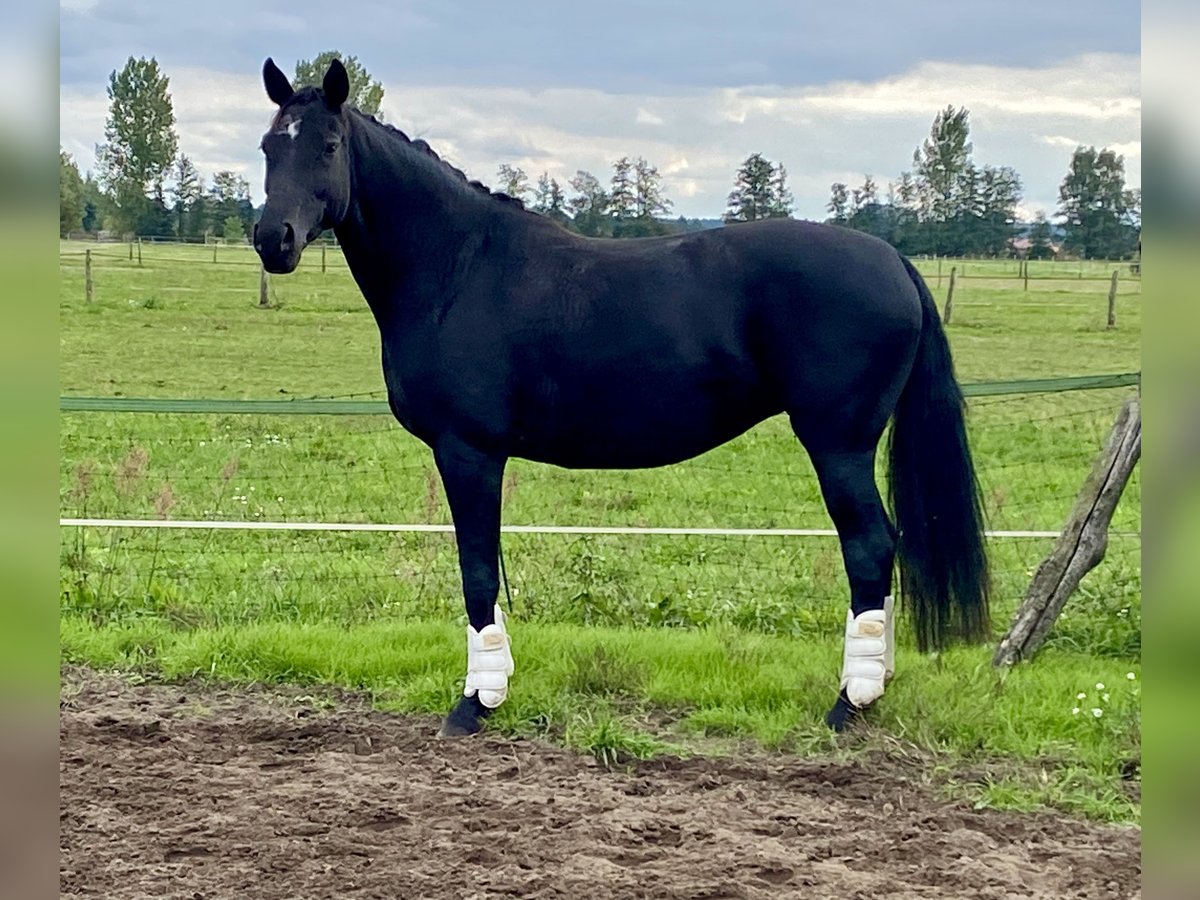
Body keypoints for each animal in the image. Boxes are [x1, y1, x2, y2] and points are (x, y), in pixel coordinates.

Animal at [255, 60, 993, 739]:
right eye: (268, 146)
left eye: (328, 144)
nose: (272, 240)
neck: (457, 268)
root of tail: (893, 261)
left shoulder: (469, 452)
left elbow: (477, 573)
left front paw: (475, 704)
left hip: (838, 444)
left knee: (869, 547)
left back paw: (848, 703)